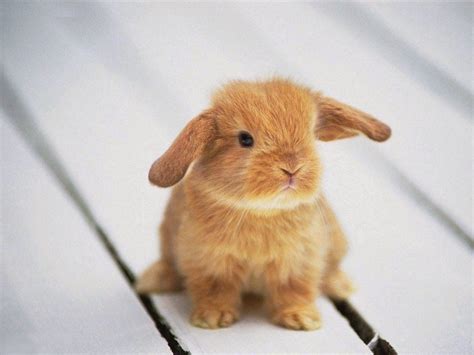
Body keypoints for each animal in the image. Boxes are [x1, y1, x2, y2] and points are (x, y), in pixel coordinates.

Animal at [135, 78, 390, 330]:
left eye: (310, 134)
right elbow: (215, 290)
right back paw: (153, 280)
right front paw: (212, 318)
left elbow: (294, 290)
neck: (262, 211)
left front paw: (302, 319)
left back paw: (342, 286)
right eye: (245, 139)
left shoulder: (299, 261)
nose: (292, 168)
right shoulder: (209, 261)